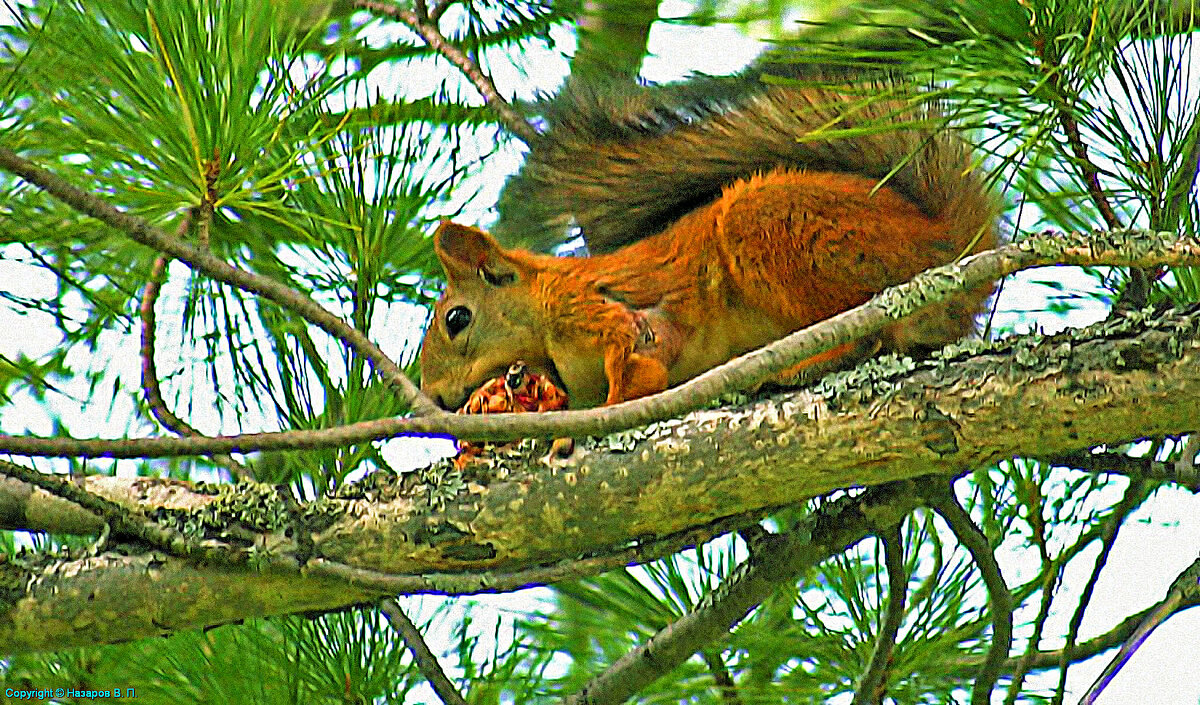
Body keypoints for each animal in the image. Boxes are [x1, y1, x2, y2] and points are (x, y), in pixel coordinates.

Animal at [417, 71, 998, 410]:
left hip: (776, 233)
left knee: (863, 336)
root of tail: (945, 246)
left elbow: (643, 352)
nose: (438, 399)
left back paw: (796, 366)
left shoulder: (590, 306)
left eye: (456, 319)